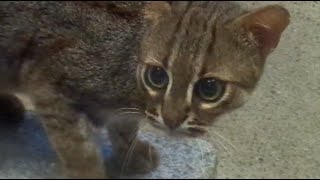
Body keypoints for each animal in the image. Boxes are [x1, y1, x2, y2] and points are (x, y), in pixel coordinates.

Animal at [0, 1, 290, 179]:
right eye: (157, 76)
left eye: (210, 89)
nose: (171, 121)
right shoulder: (48, 86)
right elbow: (80, 150)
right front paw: (92, 171)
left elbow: (125, 127)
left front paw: (130, 154)